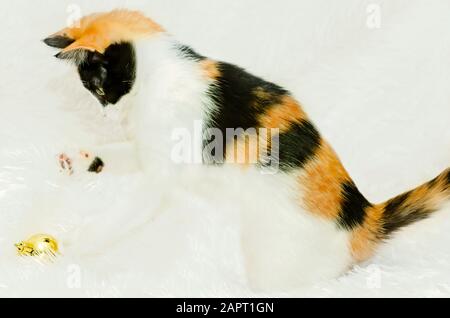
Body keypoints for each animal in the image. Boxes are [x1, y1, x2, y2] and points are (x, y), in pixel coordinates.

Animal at [43, 9, 450, 290]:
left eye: (99, 89)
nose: (106, 113)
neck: (160, 75)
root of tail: (365, 217)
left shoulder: (162, 172)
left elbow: (126, 211)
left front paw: (75, 244)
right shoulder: (147, 149)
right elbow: (118, 155)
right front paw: (78, 159)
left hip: (274, 258)